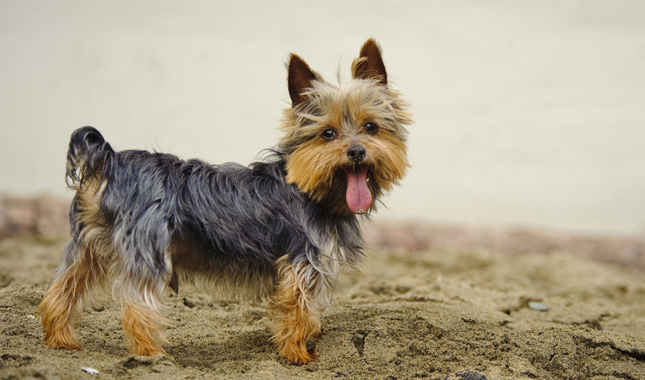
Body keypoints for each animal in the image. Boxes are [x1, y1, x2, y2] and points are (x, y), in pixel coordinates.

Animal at [40, 39, 410, 366]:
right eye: (328, 134)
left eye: (371, 127)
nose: (356, 151)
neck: (312, 190)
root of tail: (111, 159)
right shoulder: (301, 262)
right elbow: (297, 311)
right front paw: (297, 355)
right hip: (147, 248)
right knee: (136, 306)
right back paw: (152, 356)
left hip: (88, 246)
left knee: (61, 290)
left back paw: (61, 341)